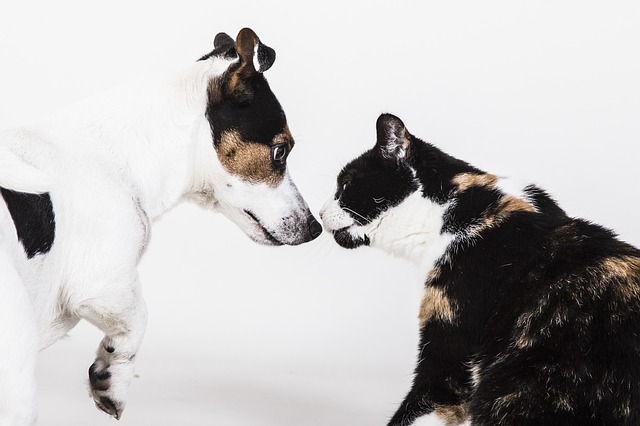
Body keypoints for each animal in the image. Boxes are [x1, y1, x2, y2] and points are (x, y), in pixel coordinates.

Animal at [0, 28, 320, 424]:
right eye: (280, 151)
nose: (315, 227)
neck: (121, 153)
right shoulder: (103, 283)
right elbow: (139, 318)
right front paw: (113, 377)